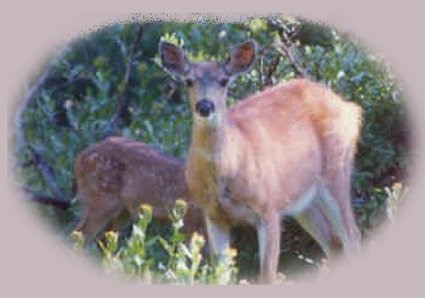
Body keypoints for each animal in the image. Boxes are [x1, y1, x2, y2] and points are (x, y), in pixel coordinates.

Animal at [159, 40, 362, 284]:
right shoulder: (212, 213)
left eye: (224, 80)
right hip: (304, 200)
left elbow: (266, 276)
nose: (205, 106)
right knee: (334, 242)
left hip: (337, 170)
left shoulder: (269, 208)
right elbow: (220, 275)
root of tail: (350, 108)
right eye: (188, 81)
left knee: (353, 235)